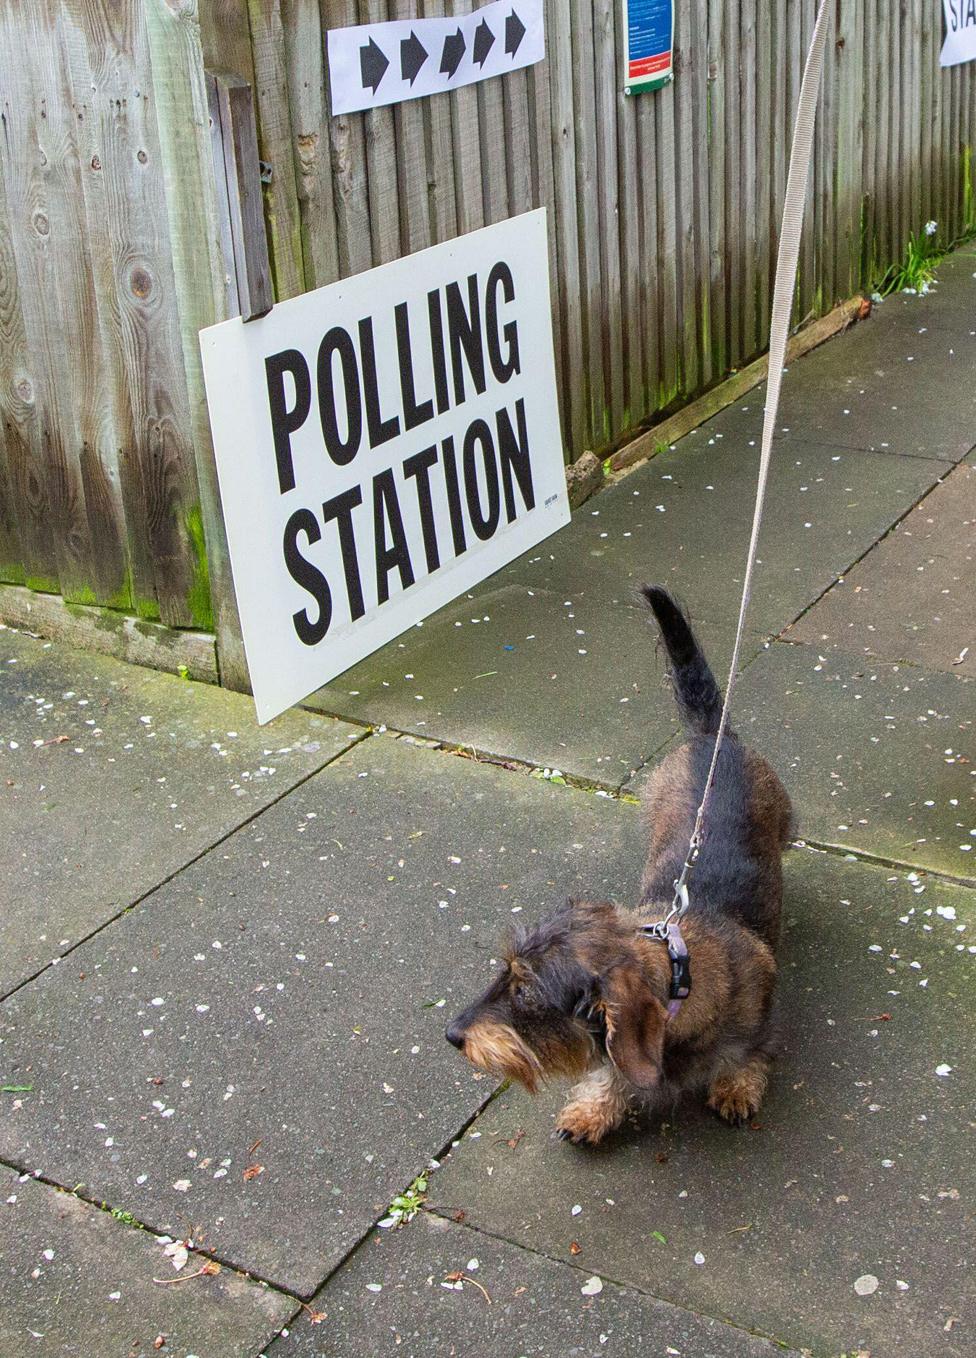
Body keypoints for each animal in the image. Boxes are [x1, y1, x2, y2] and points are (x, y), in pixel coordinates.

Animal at [447, 586, 798, 1146]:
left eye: (527, 992)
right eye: (504, 972)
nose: (452, 1035)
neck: (680, 969)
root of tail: (711, 736)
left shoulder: (758, 1028)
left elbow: (747, 1059)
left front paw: (736, 1088)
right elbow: (608, 1069)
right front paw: (592, 1109)